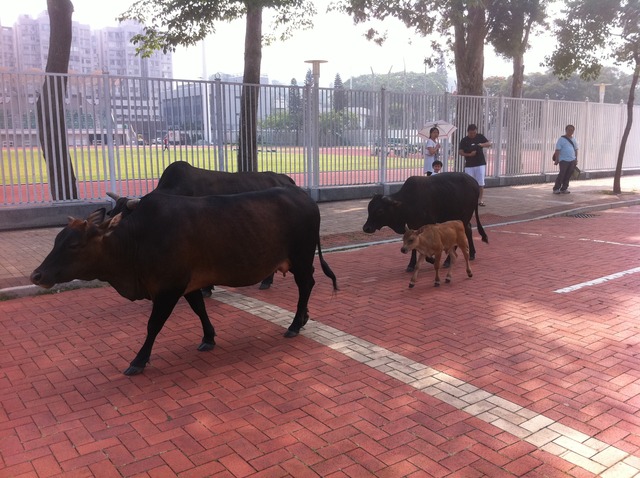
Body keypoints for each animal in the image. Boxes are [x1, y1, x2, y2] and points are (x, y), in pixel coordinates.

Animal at [30, 186, 338, 376]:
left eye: (73, 245)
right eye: (57, 239)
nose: (37, 275)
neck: (136, 240)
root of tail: (304, 197)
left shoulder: (168, 288)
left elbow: (153, 325)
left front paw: (138, 360)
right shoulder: (189, 284)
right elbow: (199, 309)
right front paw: (208, 337)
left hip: (300, 257)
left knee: (306, 285)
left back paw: (295, 324)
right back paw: (303, 318)